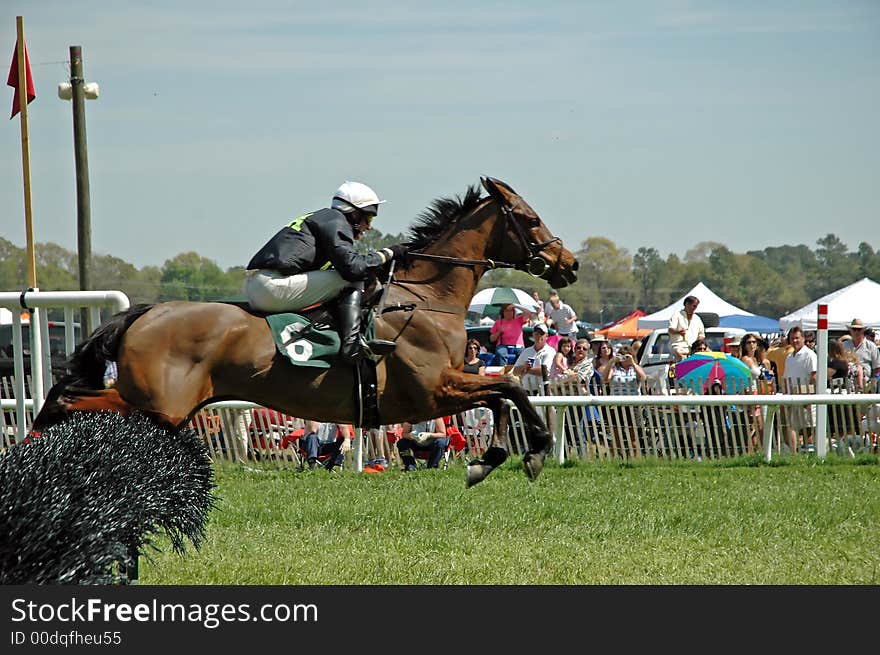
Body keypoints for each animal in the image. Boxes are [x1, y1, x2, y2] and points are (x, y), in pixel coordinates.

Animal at [34, 178, 580, 486]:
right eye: (529, 219)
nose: (569, 264)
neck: (427, 299)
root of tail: (145, 313)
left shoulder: (449, 384)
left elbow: (501, 395)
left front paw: (491, 459)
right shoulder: (432, 390)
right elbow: (510, 386)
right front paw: (531, 451)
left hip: (165, 406)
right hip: (158, 403)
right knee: (67, 401)